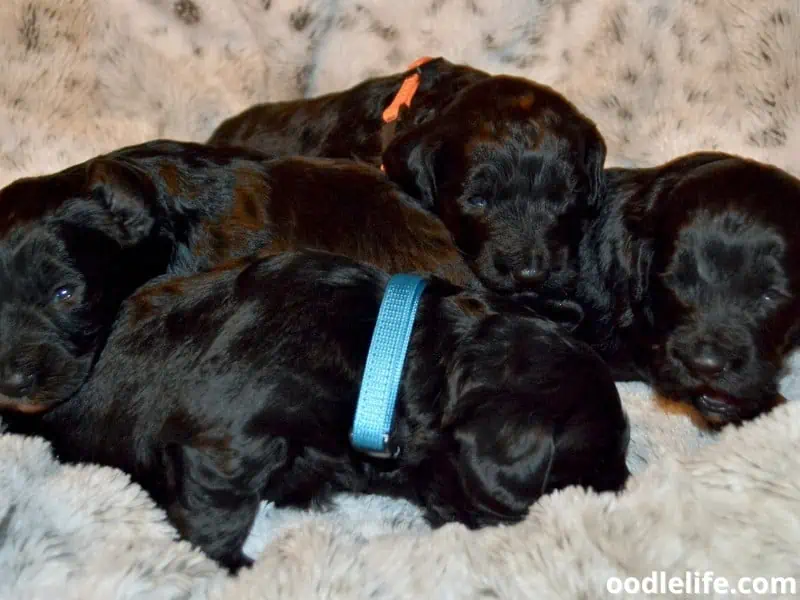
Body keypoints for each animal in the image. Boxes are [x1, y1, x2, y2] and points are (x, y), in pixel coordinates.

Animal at [0, 248, 632, 572]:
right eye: (592, 467)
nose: (626, 486)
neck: (388, 356)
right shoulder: (225, 441)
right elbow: (217, 513)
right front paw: (234, 569)